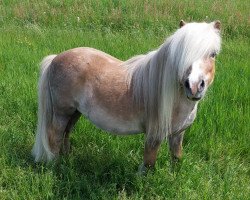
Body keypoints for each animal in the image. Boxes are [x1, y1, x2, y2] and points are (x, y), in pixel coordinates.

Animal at [32, 20, 222, 172]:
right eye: (180, 56)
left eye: (213, 54)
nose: (194, 86)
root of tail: (55, 58)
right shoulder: (154, 136)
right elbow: (149, 164)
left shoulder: (178, 134)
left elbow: (176, 157)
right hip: (61, 112)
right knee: (54, 137)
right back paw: (56, 166)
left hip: (75, 112)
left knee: (66, 133)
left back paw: (67, 160)